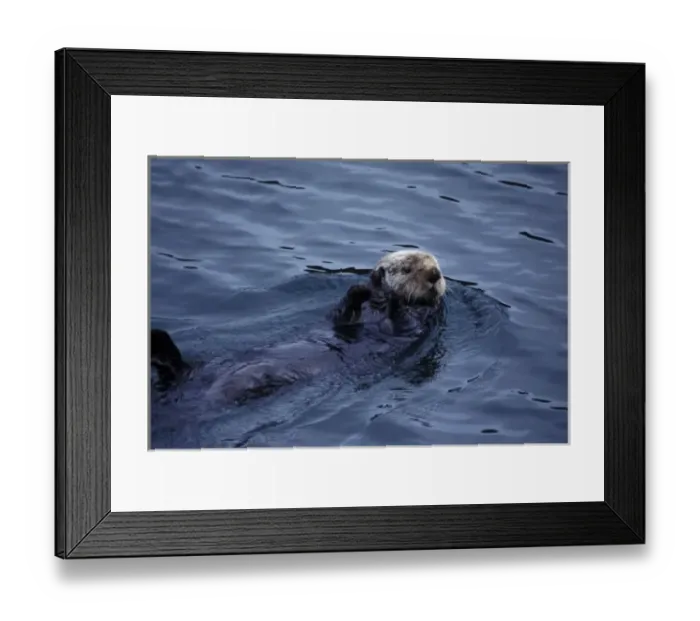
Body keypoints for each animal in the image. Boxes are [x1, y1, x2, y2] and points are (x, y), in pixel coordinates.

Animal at [151, 250, 447, 404]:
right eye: (407, 268)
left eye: (437, 268)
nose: (434, 275)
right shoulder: (341, 318)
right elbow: (343, 315)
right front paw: (363, 289)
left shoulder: (417, 325)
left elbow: (404, 323)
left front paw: (396, 299)